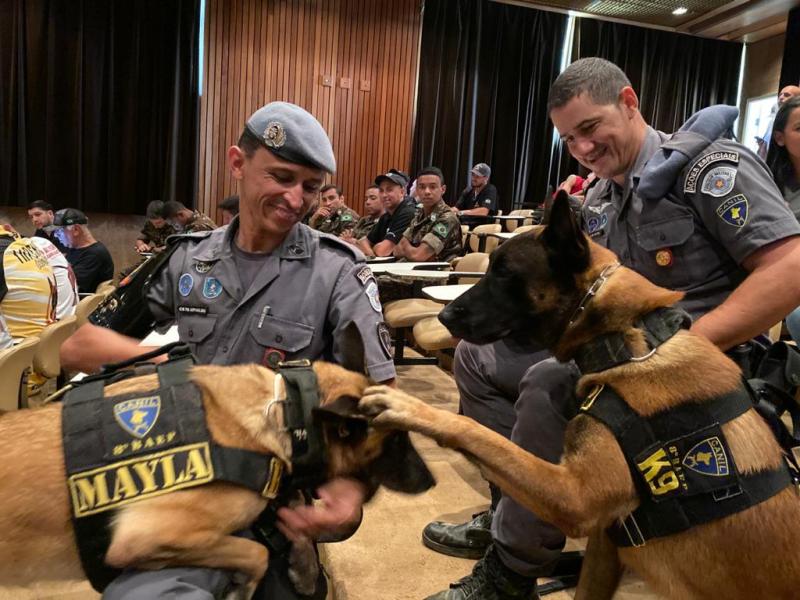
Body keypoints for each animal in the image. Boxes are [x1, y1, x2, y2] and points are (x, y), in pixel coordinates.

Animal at [0, 326, 434, 596]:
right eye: (398, 440)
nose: (431, 482)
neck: (287, 409)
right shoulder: (145, 538)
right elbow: (257, 553)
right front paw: (245, 586)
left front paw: (303, 565)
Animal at [360, 192, 800, 600]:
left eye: (504, 274)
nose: (444, 317)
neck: (631, 341)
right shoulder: (608, 541)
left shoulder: (576, 496)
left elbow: (476, 432)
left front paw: (408, 408)